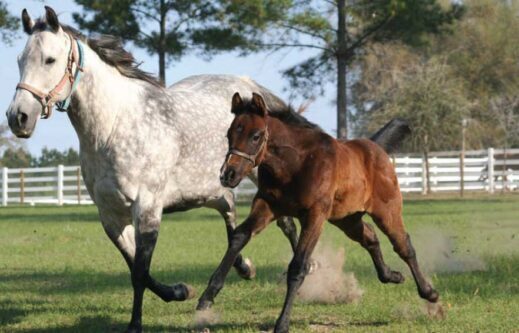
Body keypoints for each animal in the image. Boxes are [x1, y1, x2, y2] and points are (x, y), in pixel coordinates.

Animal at [5, 6, 296, 330]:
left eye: (50, 60)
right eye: (20, 60)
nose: (18, 117)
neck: (113, 128)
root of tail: (248, 85)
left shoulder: (147, 209)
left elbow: (140, 272)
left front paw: (136, 324)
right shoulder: (110, 216)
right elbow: (136, 267)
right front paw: (180, 291)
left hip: (255, 173)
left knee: (283, 221)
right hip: (213, 185)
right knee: (231, 211)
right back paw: (244, 268)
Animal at [198, 91, 438, 332]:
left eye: (255, 136)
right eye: (229, 134)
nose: (228, 174)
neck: (295, 164)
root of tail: (374, 147)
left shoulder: (314, 215)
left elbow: (298, 266)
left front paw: (282, 323)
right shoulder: (267, 205)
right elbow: (239, 237)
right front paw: (206, 299)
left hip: (386, 211)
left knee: (403, 245)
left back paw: (430, 293)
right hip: (347, 219)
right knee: (370, 237)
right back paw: (392, 276)